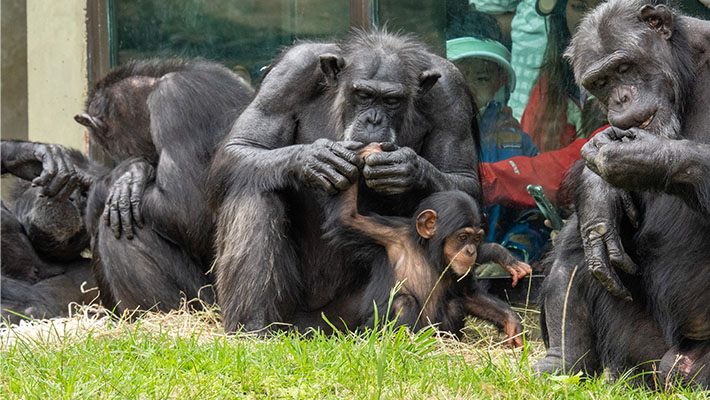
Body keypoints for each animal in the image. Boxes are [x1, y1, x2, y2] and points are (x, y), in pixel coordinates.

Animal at [72, 59, 254, 314]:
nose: (123, 158)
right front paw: (128, 174)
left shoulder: (173, 102)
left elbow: (183, 210)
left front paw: (125, 176)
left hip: (207, 300)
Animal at [209, 29, 482, 332]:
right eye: (363, 95)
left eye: (391, 101)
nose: (374, 119)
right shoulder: (289, 74)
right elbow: (242, 145)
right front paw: (316, 159)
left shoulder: (451, 97)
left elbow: (463, 179)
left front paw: (406, 168)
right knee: (256, 188)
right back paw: (254, 326)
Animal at [326, 144, 524, 346]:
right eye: (462, 237)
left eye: (476, 239)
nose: (471, 251)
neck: (427, 252)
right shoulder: (385, 234)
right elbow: (347, 217)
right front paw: (368, 150)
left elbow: (469, 295)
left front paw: (511, 322)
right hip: (371, 331)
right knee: (403, 302)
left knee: (454, 305)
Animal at [540, 0, 710, 388]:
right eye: (601, 82)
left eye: (624, 67)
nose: (620, 97)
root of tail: (678, 358)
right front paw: (601, 196)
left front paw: (643, 157)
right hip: (638, 354)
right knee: (578, 236)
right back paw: (562, 362)